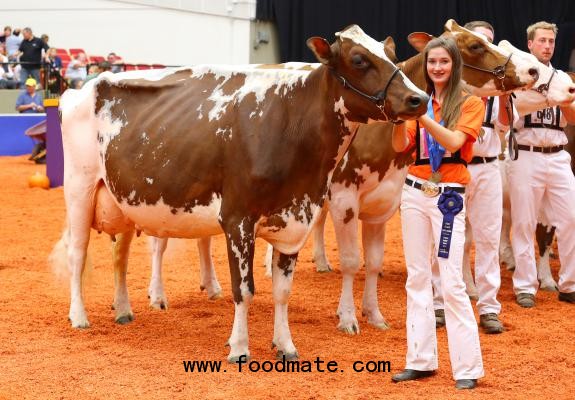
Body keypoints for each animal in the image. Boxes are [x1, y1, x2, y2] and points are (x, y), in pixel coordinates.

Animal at [55, 25, 432, 362]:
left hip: (122, 200)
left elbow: (282, 292)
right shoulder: (238, 220)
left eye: (393, 55)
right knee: (77, 254)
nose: (419, 98)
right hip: (79, 187)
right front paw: (238, 347)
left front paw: (285, 345)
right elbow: (244, 289)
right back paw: (80, 316)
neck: (289, 123)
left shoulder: (295, 219)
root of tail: (81, 89)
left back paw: (123, 309)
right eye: (358, 59)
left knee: (119, 256)